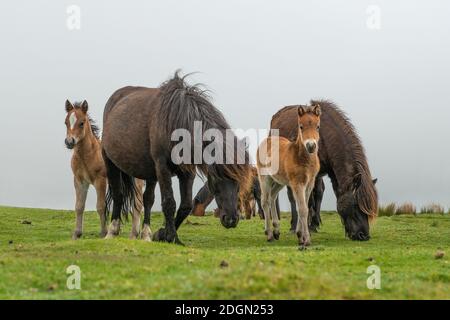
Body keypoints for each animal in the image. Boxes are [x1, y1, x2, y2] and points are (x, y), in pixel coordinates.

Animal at [63, 100, 143, 240]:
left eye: (82, 122)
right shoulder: (79, 181)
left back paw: (134, 234)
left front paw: (104, 233)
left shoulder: (100, 181)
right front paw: (77, 234)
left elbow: (101, 206)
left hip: (137, 183)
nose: (69, 142)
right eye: (66, 122)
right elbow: (79, 206)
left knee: (138, 205)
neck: (88, 155)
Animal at [100, 71, 253, 244]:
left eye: (239, 181)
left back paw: (146, 234)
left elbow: (185, 206)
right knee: (118, 195)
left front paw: (163, 234)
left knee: (148, 199)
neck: (176, 123)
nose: (231, 220)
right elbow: (169, 202)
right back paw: (112, 231)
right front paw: (171, 236)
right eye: (215, 178)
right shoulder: (162, 167)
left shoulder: (187, 172)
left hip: (149, 172)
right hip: (111, 163)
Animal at [256, 104, 320, 249]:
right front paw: (306, 240)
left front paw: (300, 236)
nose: (311, 146)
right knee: (265, 201)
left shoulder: (309, 184)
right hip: (265, 178)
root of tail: (266, 140)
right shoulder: (297, 184)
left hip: (279, 181)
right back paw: (269, 234)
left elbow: (304, 207)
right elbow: (303, 209)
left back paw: (276, 231)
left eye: (318, 126)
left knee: (272, 197)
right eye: (301, 126)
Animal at [272, 100, 378, 240]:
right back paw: (294, 226)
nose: (364, 235)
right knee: (292, 195)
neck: (325, 138)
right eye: (356, 205)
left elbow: (319, 194)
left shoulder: (331, 173)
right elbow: (307, 199)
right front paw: (305, 228)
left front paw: (314, 225)